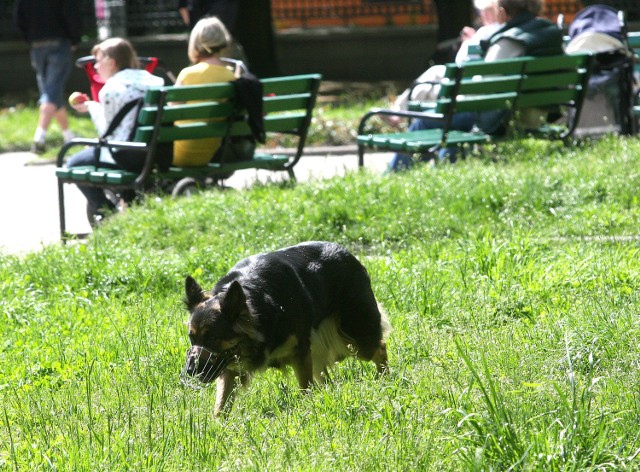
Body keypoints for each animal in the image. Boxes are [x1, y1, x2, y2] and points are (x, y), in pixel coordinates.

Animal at [180, 242, 390, 414]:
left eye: (212, 337)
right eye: (192, 338)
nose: (190, 371)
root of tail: (347, 253)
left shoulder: (301, 353)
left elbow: (305, 387)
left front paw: (308, 409)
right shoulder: (228, 365)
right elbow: (221, 402)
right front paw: (218, 425)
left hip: (353, 336)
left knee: (380, 347)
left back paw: (384, 379)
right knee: (324, 373)